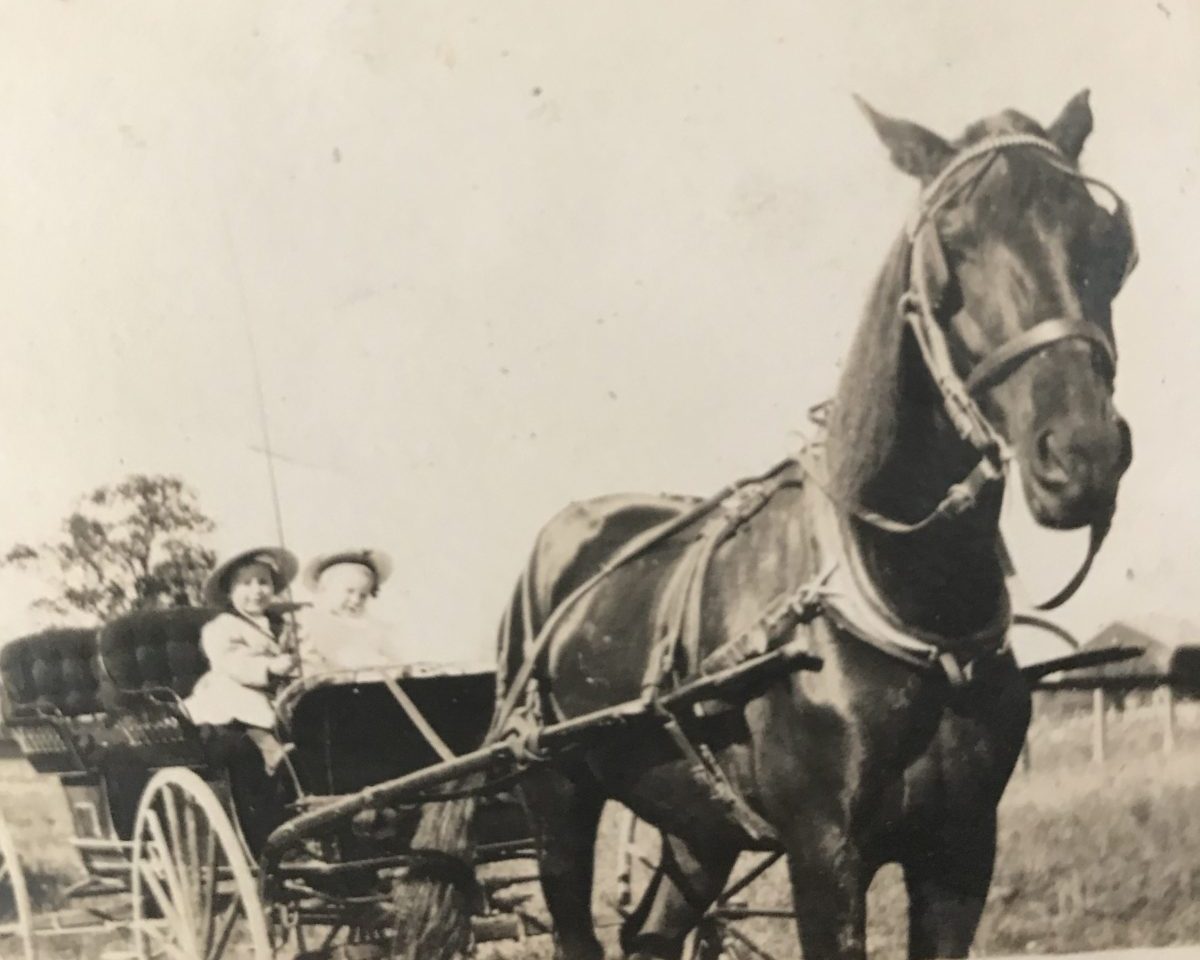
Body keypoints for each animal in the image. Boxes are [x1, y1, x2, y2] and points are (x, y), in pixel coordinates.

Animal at [398, 91, 1137, 960]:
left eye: (1106, 240)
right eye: (952, 245)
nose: (1083, 455)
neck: (900, 599)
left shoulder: (961, 853)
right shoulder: (824, 851)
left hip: (696, 822)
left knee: (653, 932)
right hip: (555, 794)